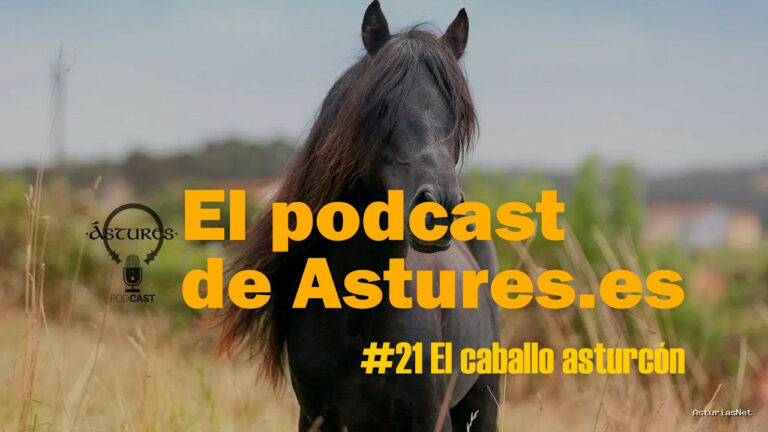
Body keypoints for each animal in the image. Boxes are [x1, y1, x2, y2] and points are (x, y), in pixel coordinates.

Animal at [216, 2, 499, 430]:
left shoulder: (429, 417)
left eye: (458, 113)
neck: (359, 322)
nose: (440, 208)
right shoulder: (315, 416)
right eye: (381, 106)